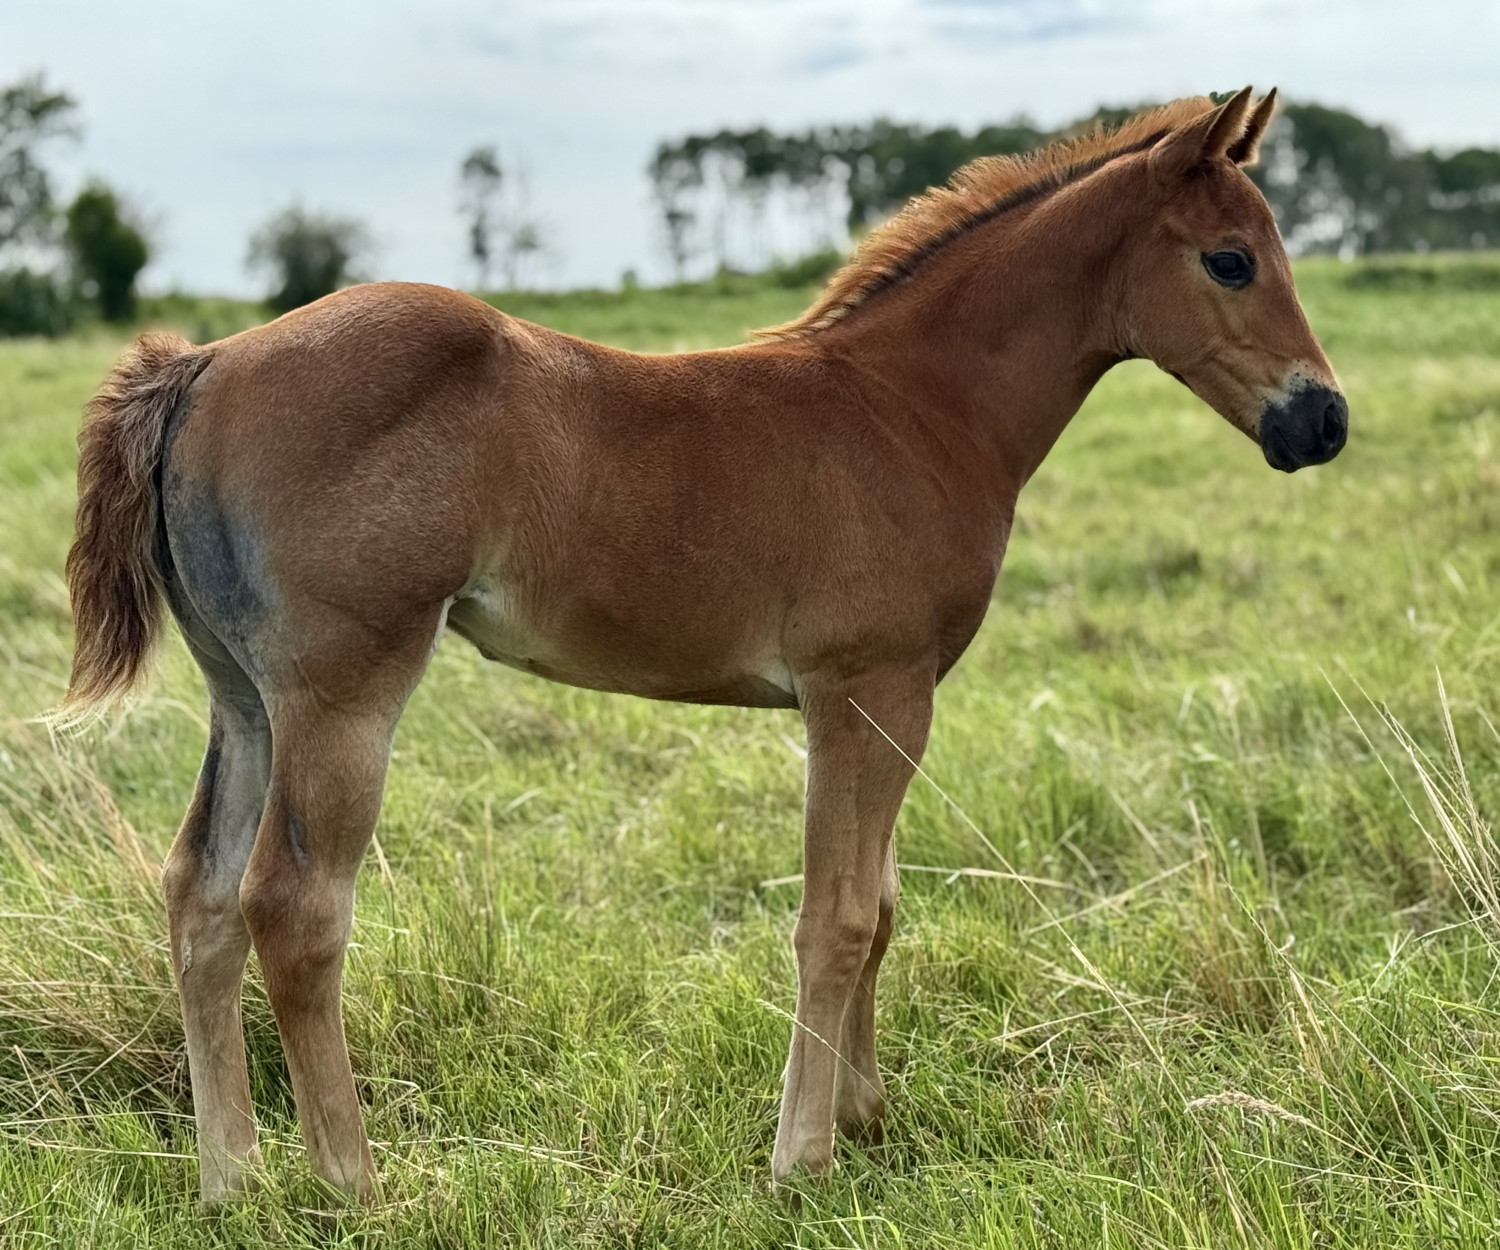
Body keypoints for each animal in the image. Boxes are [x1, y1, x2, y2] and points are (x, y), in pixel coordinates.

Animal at [56, 87, 1346, 1203]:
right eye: (1231, 258)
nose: (1321, 420)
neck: (913, 409)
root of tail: (203, 365)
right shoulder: (867, 688)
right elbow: (837, 915)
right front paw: (804, 1156)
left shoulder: (883, 700)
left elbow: (879, 904)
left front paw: (866, 1118)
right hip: (343, 692)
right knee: (295, 906)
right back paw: (355, 1182)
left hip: (245, 698)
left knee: (201, 897)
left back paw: (232, 1179)